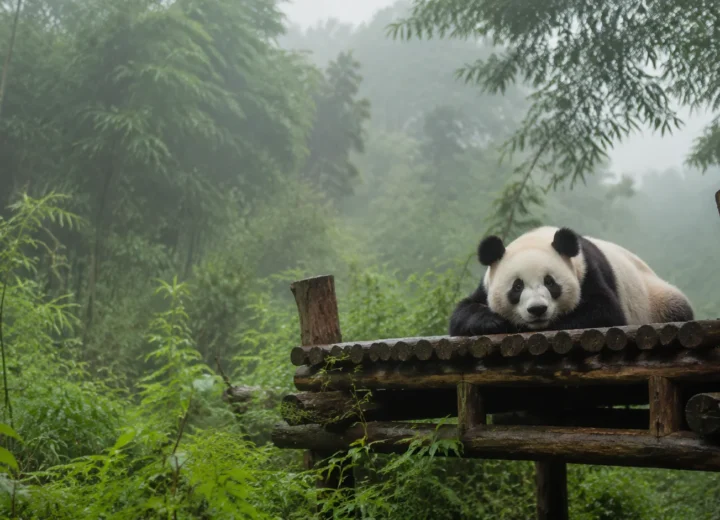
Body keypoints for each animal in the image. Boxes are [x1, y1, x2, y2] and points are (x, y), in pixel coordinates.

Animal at [449, 226, 694, 336]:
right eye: (517, 286)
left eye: (550, 282)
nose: (537, 310)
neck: (538, 238)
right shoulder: (485, 286)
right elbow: (462, 312)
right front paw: (494, 321)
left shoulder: (589, 272)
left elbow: (604, 311)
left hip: (655, 299)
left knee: (676, 307)